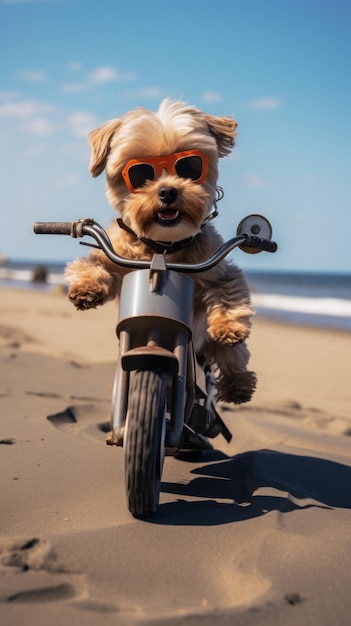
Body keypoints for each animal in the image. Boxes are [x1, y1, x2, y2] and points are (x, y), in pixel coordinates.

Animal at [66, 97, 258, 400]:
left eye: (189, 167)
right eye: (140, 173)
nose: (168, 191)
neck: (162, 248)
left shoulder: (220, 270)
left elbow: (229, 294)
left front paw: (229, 326)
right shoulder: (115, 254)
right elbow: (92, 262)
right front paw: (87, 287)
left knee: (233, 357)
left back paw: (237, 385)